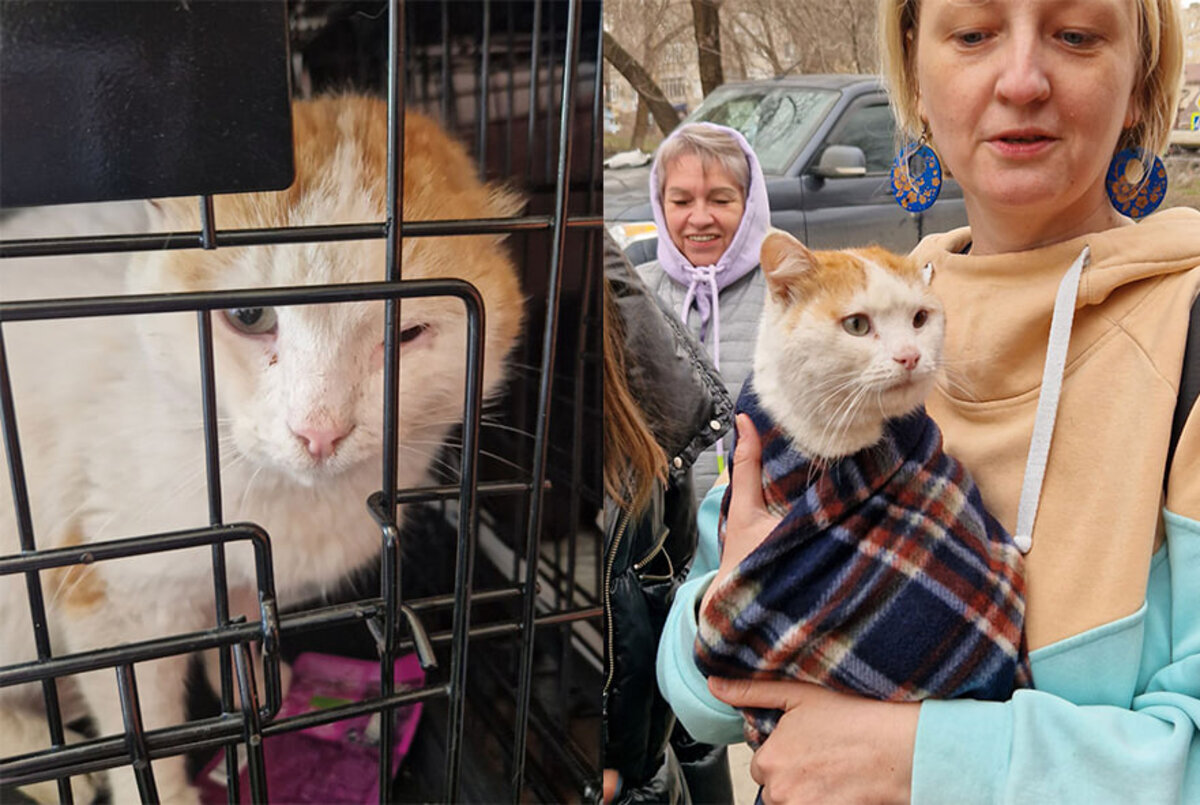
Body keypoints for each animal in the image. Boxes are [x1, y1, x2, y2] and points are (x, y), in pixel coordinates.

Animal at [1, 95, 525, 805]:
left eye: (405, 333)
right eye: (248, 315)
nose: (319, 429)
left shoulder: (244, 582)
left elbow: (240, 630)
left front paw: (251, 687)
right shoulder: (112, 600)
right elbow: (145, 729)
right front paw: (167, 787)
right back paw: (66, 769)